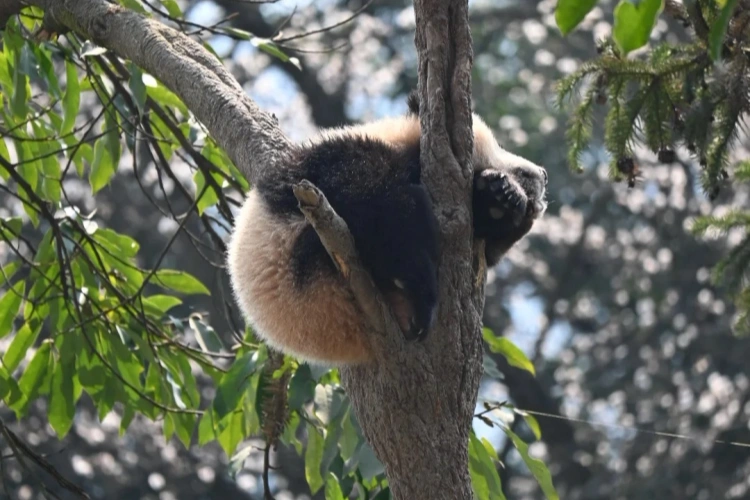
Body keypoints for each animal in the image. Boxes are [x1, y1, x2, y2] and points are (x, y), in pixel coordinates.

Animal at [227, 92, 547, 365]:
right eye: (518, 167)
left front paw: (503, 199)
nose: (543, 174)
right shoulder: (336, 161)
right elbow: (380, 202)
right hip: (303, 263)